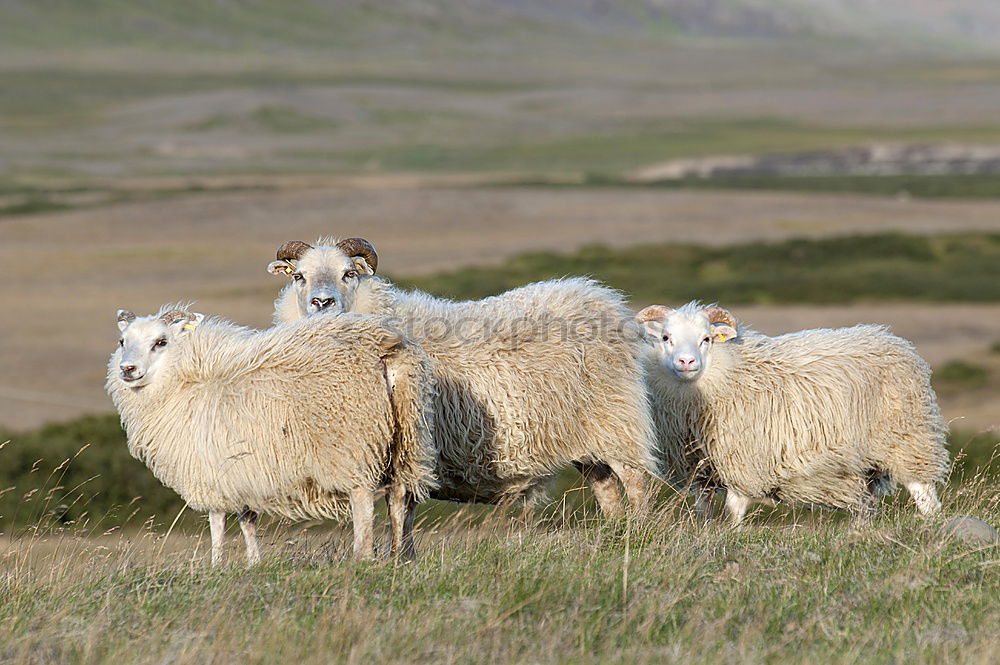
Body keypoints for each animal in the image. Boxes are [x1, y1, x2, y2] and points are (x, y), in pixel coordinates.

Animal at [107, 304, 440, 560]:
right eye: (122, 341)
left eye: (161, 342)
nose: (127, 370)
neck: (187, 377)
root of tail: (385, 347)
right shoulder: (241, 472)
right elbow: (247, 520)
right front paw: (254, 562)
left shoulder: (211, 473)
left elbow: (217, 523)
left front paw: (216, 565)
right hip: (407, 438)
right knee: (400, 500)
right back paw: (399, 556)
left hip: (352, 446)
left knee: (364, 502)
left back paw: (362, 556)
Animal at [266, 239, 656, 512]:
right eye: (299, 276)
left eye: (349, 273)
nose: (322, 303)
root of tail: (605, 300)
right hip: (581, 437)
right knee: (606, 486)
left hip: (616, 419)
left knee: (634, 482)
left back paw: (635, 534)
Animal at [636, 300, 948, 524]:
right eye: (665, 338)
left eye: (706, 339)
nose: (686, 362)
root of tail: (896, 342)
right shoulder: (699, 472)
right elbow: (704, 513)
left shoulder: (745, 463)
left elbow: (734, 511)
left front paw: (730, 535)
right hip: (864, 466)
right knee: (865, 508)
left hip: (908, 441)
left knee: (925, 495)